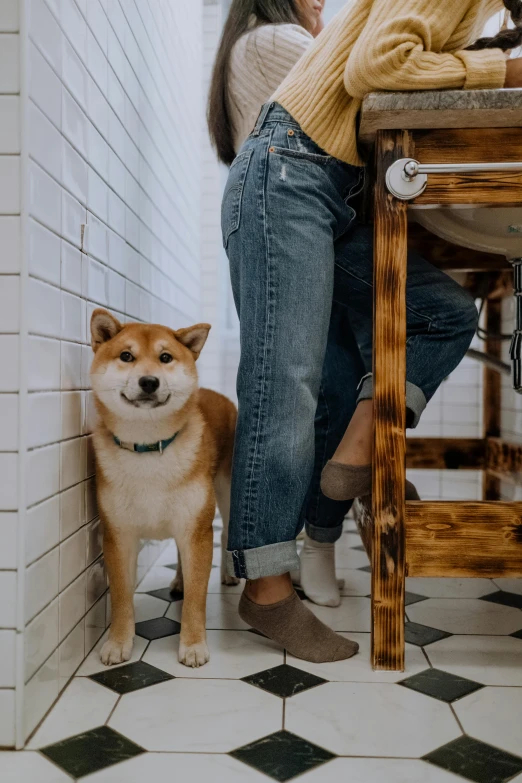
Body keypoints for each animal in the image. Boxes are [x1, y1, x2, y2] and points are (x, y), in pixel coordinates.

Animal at [89, 310, 236, 672]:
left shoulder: (196, 529)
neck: (148, 448)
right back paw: (180, 581)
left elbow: (197, 599)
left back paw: (227, 574)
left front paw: (193, 645)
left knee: (227, 533)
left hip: (225, 493)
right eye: (126, 356)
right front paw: (118, 643)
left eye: (165, 358)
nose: (149, 382)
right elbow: (121, 597)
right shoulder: (119, 535)